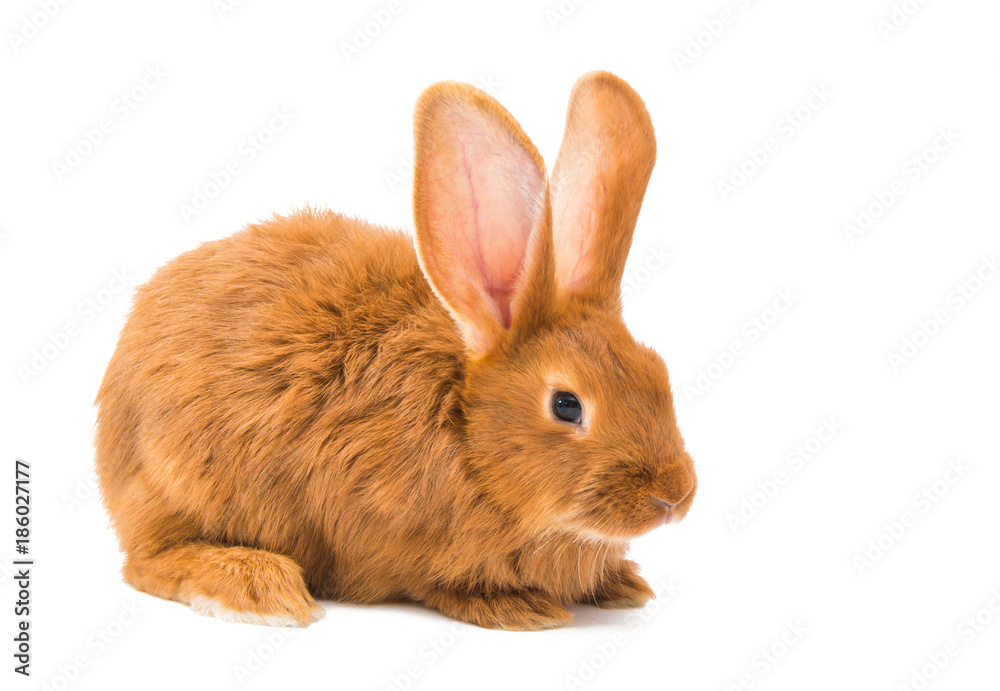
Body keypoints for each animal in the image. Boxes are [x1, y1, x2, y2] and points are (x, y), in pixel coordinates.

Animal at [94, 71, 697, 631]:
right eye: (567, 405)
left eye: (659, 373)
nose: (675, 495)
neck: (465, 430)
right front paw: (517, 606)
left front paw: (622, 583)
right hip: (175, 481)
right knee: (148, 560)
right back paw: (257, 587)